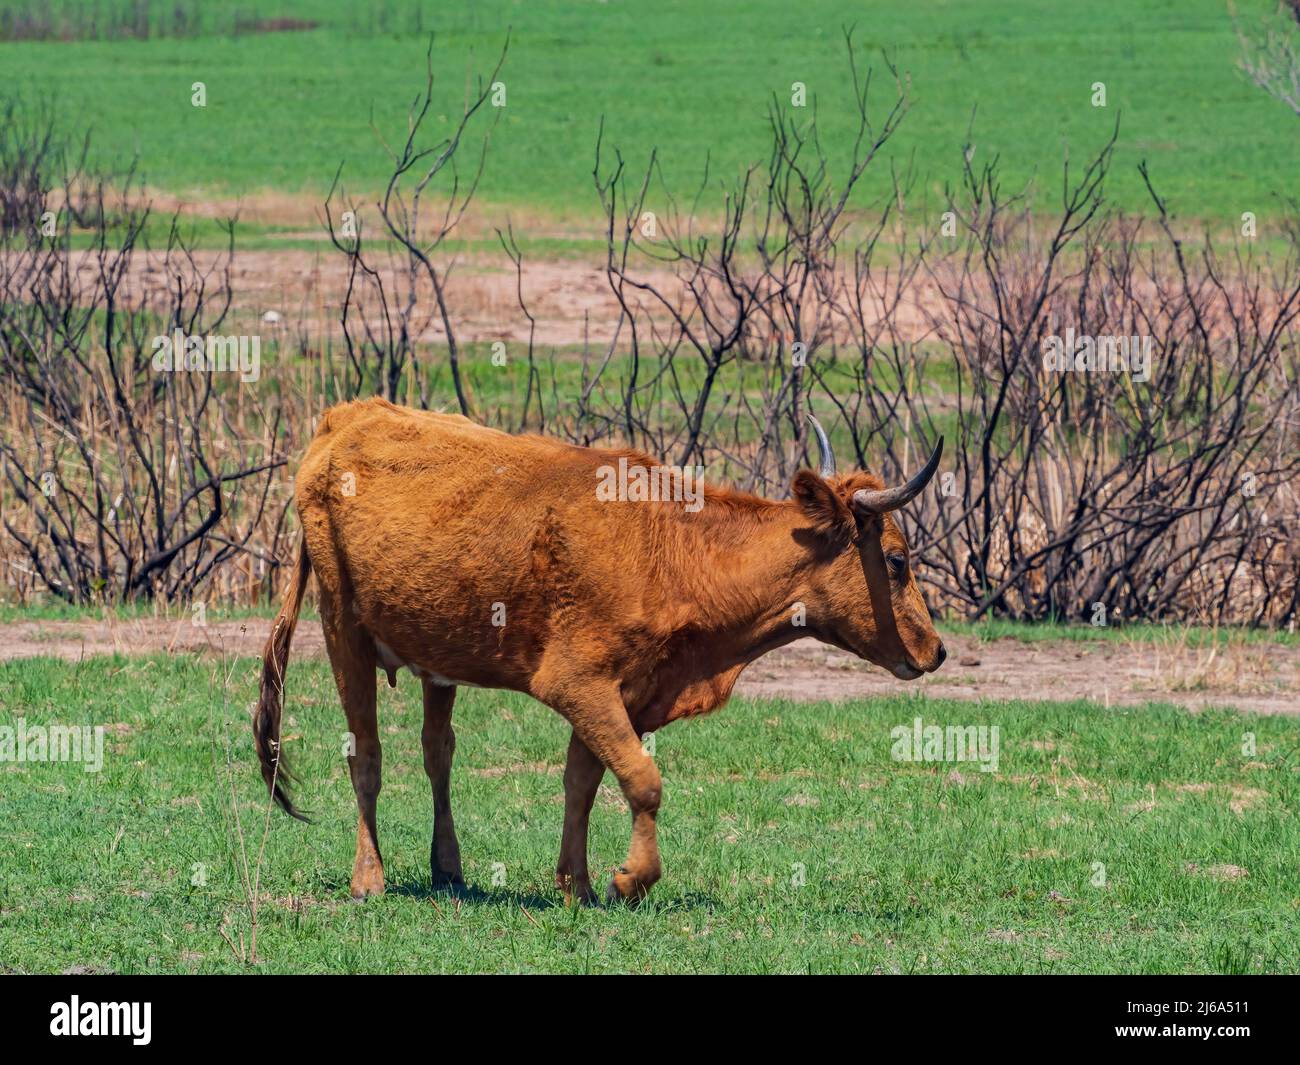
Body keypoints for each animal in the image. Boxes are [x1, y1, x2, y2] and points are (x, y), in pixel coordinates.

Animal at [255, 397, 946, 903]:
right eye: (897, 559)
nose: (937, 650)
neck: (672, 549)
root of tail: (346, 417)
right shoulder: (577, 683)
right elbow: (643, 779)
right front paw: (628, 880)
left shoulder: (624, 693)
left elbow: (582, 781)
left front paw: (576, 886)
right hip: (342, 629)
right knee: (366, 756)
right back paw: (368, 878)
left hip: (437, 656)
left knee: (437, 752)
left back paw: (448, 867)